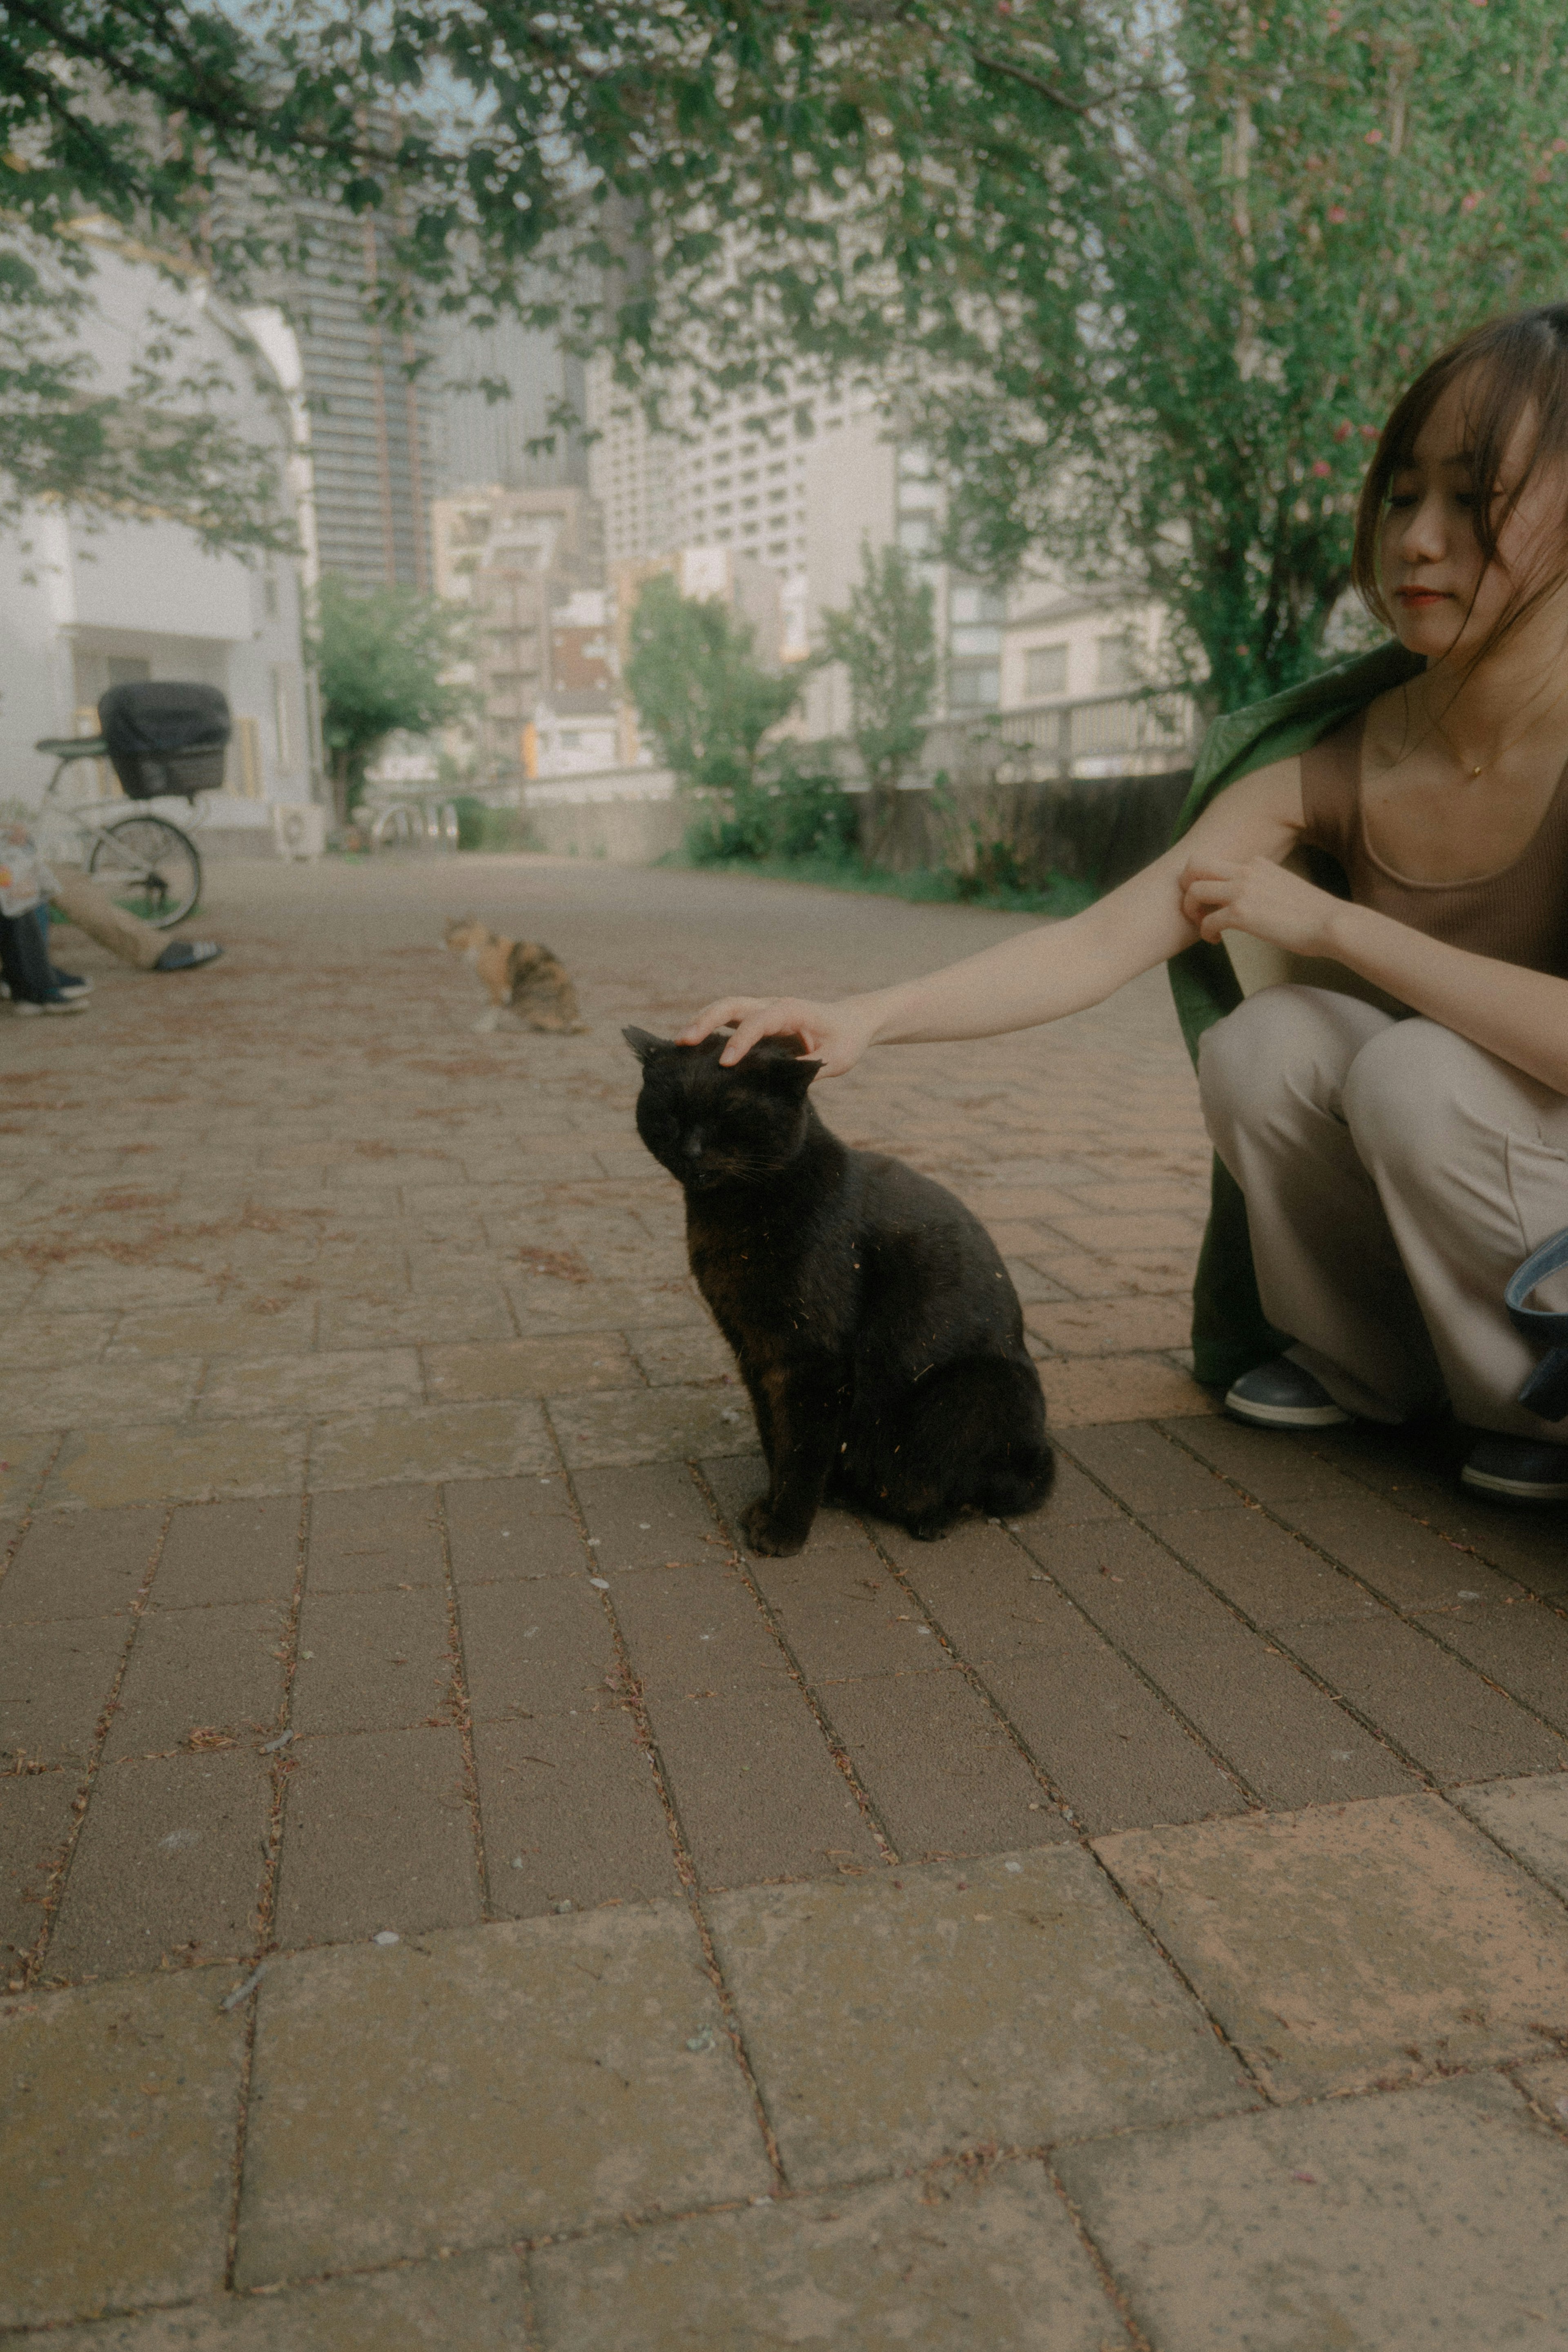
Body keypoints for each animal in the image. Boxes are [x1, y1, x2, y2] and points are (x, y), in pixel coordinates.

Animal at [442, 912, 588, 1034]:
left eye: (451, 939)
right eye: (445, 936)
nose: (441, 945)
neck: (482, 947)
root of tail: (575, 1017)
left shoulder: (497, 987)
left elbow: (492, 1008)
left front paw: (484, 1027)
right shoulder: (494, 990)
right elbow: (491, 1007)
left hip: (524, 1000)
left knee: (554, 1026)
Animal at [625, 1034, 1053, 1561]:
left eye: (729, 1114)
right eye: (669, 1113)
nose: (691, 1150)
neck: (730, 1217)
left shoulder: (814, 1360)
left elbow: (802, 1448)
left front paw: (784, 1528)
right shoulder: (755, 1352)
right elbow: (775, 1437)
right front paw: (772, 1504)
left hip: (977, 1390)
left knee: (990, 1486)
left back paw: (932, 1516)